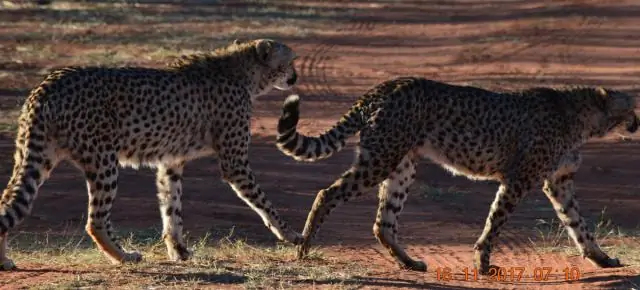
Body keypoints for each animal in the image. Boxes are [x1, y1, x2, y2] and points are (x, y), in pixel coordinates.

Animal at [0, 38, 302, 270]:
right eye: (290, 61)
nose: (295, 77)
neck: (245, 71)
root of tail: (51, 81)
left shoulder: (170, 162)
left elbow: (171, 207)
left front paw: (179, 251)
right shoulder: (234, 163)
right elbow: (264, 202)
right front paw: (289, 233)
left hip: (38, 157)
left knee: (7, 201)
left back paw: (4, 261)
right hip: (103, 162)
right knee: (95, 221)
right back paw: (124, 256)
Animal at [276, 76, 636, 274]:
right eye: (631, 107)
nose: (637, 123)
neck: (584, 118)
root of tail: (386, 85)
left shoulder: (558, 182)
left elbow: (579, 225)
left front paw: (602, 259)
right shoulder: (518, 180)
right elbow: (494, 223)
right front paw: (483, 265)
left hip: (401, 166)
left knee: (383, 222)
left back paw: (409, 263)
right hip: (381, 158)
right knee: (327, 194)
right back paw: (304, 248)